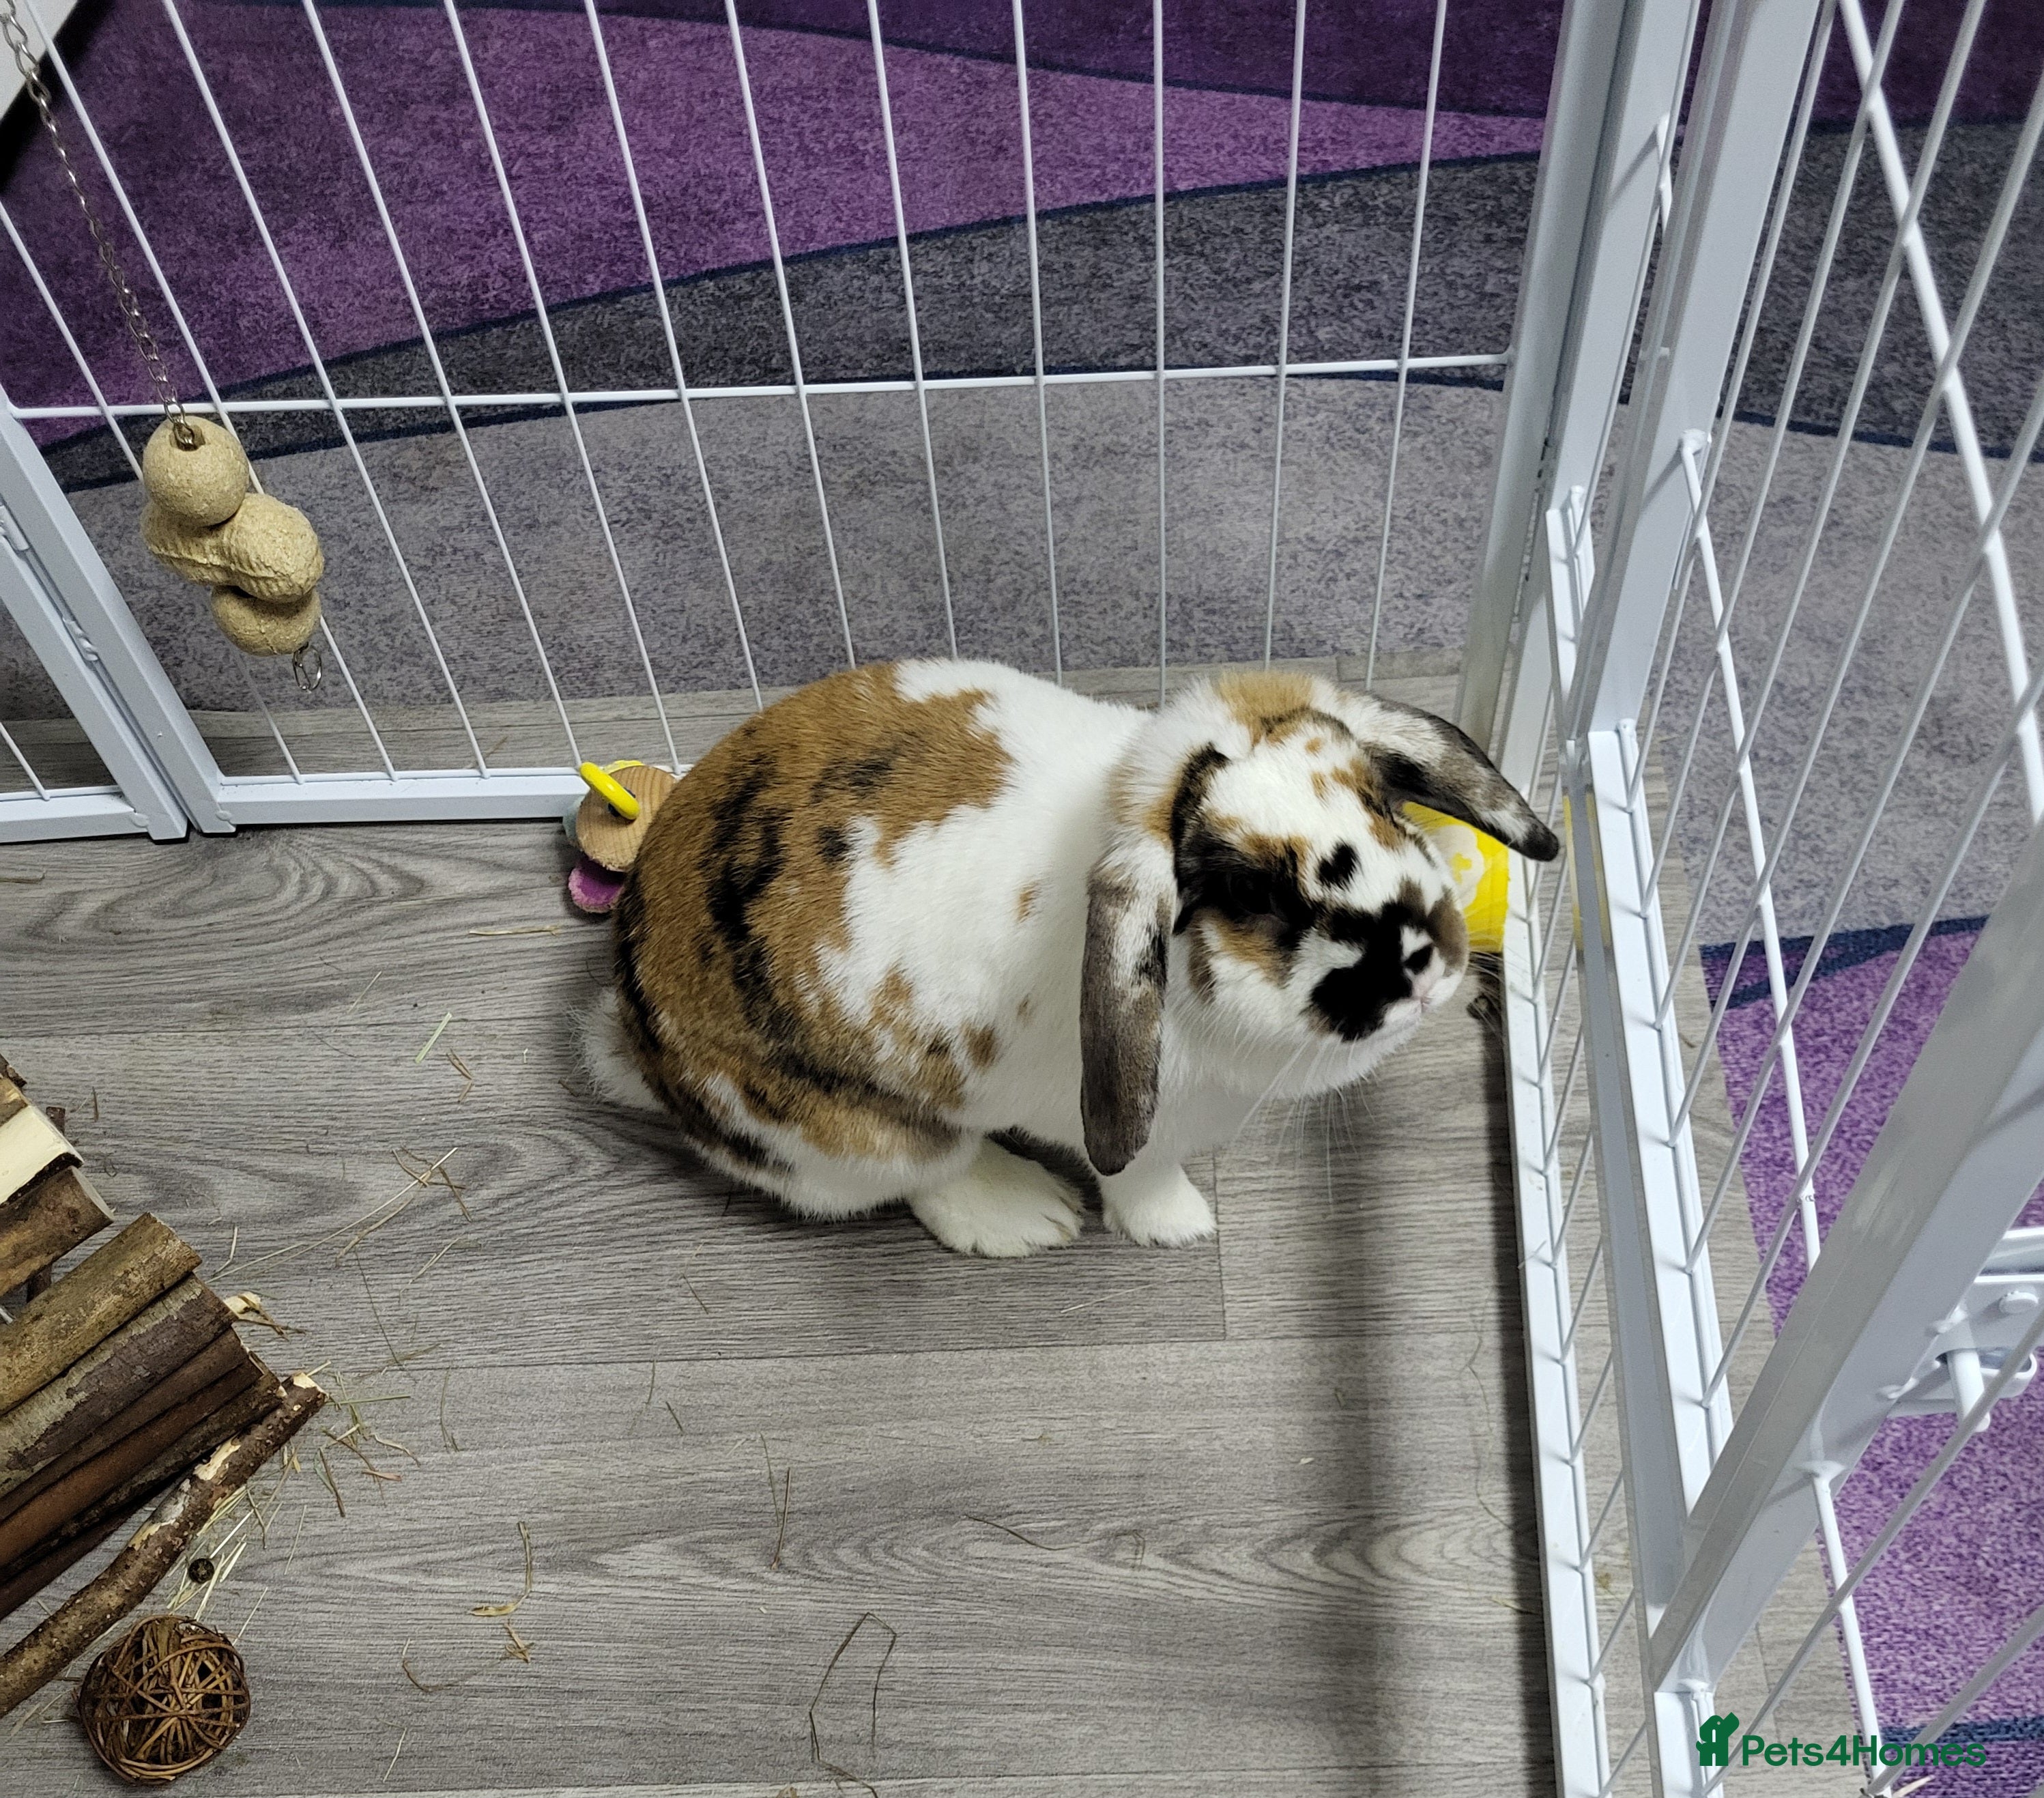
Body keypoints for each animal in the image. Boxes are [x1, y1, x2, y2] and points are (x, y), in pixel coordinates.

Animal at [579, 659, 1559, 1257]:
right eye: (1252, 897)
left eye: (1387, 807)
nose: (1422, 957)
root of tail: (632, 1037)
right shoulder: (1145, 1130)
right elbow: (1138, 1173)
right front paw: (1177, 1227)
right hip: (862, 1138)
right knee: (928, 1176)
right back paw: (1028, 1215)